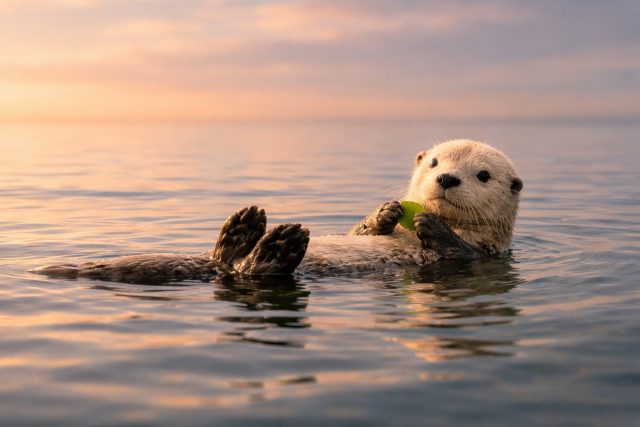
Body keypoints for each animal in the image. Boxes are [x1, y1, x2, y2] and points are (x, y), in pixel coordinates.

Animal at [32, 139, 523, 284]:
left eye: (481, 175)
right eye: (436, 163)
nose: (448, 179)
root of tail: (213, 270)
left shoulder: (485, 255)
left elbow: (458, 253)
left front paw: (430, 224)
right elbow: (362, 232)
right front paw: (386, 212)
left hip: (257, 271)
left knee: (252, 270)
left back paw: (275, 243)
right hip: (224, 260)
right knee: (231, 259)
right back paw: (245, 225)